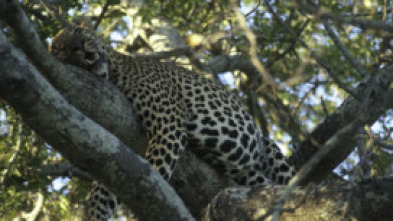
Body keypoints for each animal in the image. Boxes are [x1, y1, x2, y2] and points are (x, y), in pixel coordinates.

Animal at [49, 25, 294, 220]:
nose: (78, 46)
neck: (115, 70)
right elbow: (104, 190)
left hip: (271, 153)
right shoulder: (116, 147)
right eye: (59, 49)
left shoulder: (168, 127)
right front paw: (94, 213)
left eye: (78, 32)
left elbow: (153, 178)